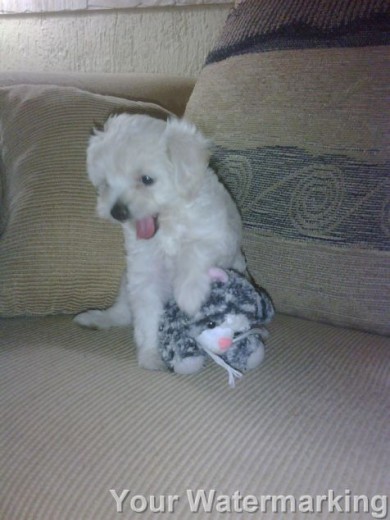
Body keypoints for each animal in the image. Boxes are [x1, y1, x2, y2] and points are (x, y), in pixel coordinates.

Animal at [74, 114, 244, 370]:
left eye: (147, 179)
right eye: (106, 183)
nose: (117, 212)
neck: (168, 224)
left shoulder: (220, 237)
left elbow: (194, 250)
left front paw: (189, 297)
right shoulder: (144, 274)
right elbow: (147, 318)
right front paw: (151, 355)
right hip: (125, 282)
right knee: (124, 313)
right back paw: (98, 318)